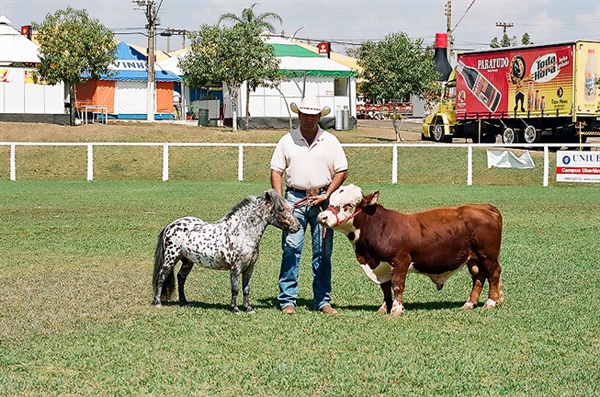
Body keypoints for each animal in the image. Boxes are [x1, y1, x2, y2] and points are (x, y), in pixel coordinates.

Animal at [152, 189, 298, 312]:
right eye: (281, 209)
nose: (297, 226)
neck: (241, 233)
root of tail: (169, 226)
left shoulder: (249, 268)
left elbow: (246, 289)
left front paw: (248, 308)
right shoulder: (235, 268)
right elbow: (235, 289)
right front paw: (235, 309)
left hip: (188, 261)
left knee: (181, 278)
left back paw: (184, 302)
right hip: (171, 259)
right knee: (162, 277)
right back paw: (158, 302)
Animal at [316, 183, 504, 316]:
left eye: (348, 205)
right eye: (330, 202)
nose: (322, 217)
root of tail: (485, 207)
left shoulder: (400, 261)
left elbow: (397, 285)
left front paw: (397, 309)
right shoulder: (382, 266)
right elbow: (386, 287)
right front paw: (385, 307)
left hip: (488, 255)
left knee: (493, 274)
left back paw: (490, 303)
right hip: (473, 258)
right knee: (478, 277)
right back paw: (469, 304)